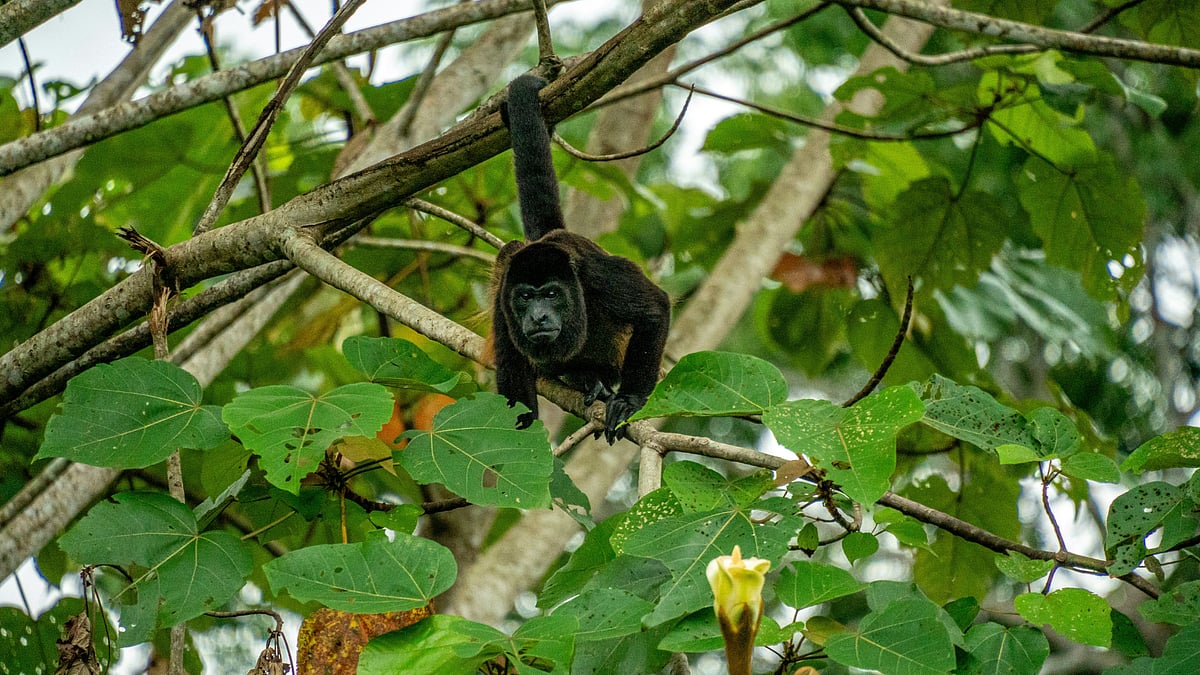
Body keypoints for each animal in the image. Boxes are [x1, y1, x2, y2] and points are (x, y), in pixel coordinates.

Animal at [488, 74, 670, 444]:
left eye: (552, 294)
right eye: (525, 297)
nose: (538, 317)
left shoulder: (598, 275)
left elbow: (654, 309)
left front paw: (628, 401)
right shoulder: (503, 299)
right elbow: (514, 388)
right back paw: (583, 378)